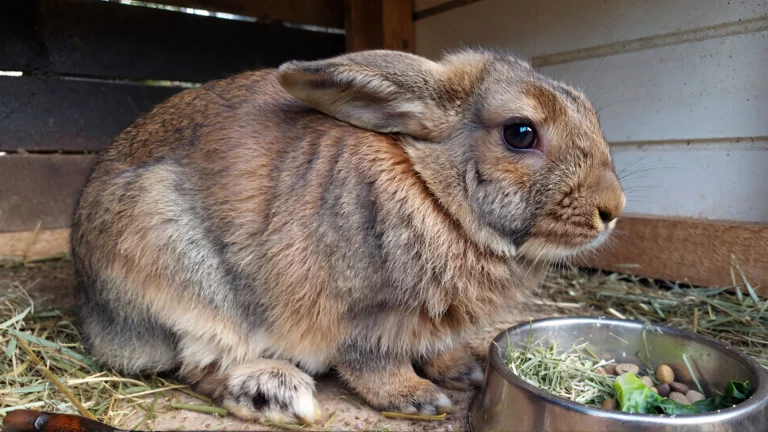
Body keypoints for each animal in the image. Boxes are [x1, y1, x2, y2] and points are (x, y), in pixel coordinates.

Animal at [70, 47, 625, 424]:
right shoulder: (367, 318)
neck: (436, 194)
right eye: (520, 133)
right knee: (198, 364)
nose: (612, 209)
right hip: (178, 270)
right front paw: (419, 398)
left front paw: (463, 370)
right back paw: (273, 392)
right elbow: (373, 363)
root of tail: (92, 315)